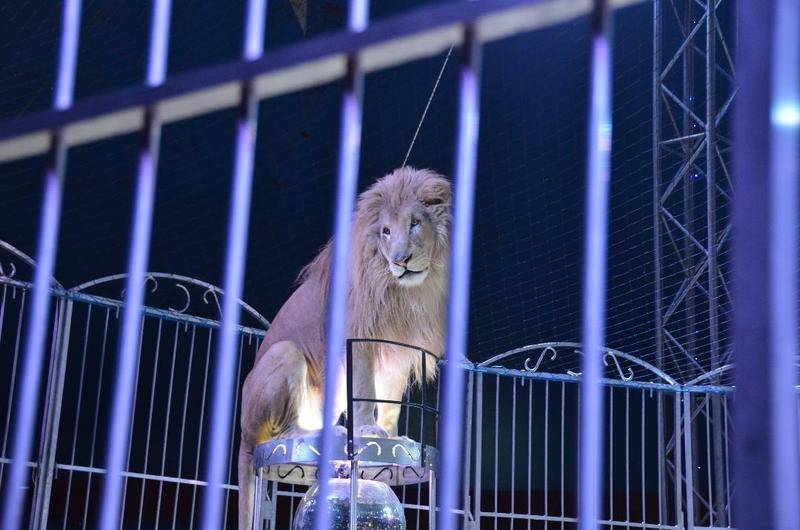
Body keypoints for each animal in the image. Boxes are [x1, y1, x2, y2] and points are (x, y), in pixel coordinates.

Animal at [237, 167, 451, 529]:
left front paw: (392, 436)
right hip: (286, 354)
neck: (404, 292)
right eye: (386, 231)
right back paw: (322, 432)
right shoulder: (359, 334)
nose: (401, 260)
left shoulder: (397, 349)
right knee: (280, 435)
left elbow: (390, 402)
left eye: (414, 223)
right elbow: (365, 390)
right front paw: (367, 427)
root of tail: (241, 435)